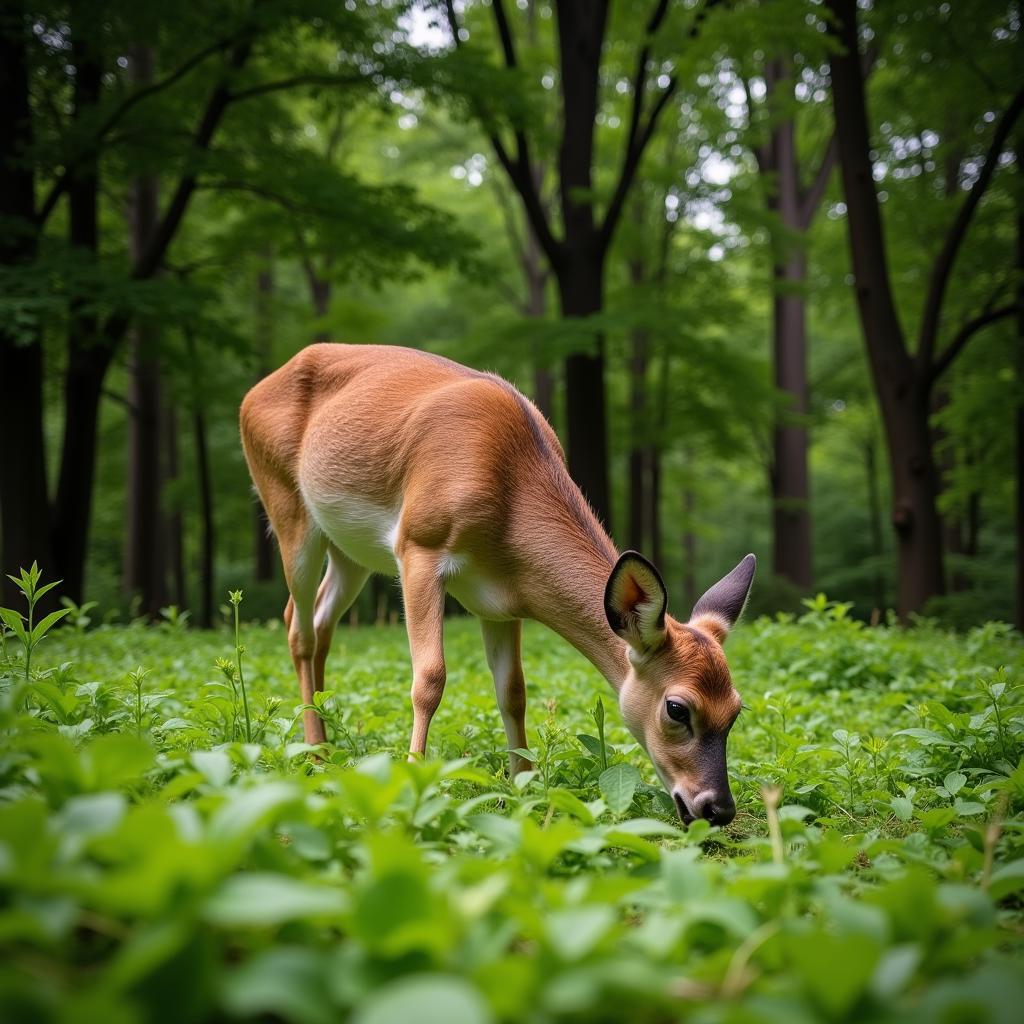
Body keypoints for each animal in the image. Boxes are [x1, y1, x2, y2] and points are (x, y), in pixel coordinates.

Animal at [237, 344, 753, 823]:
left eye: (736, 710)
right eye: (677, 708)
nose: (717, 808)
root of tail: (253, 392)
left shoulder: (500, 602)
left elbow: (514, 691)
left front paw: (521, 786)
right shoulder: (418, 546)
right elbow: (430, 678)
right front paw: (413, 780)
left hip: (350, 550)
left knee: (321, 622)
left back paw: (325, 743)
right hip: (287, 505)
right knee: (297, 625)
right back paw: (314, 752)